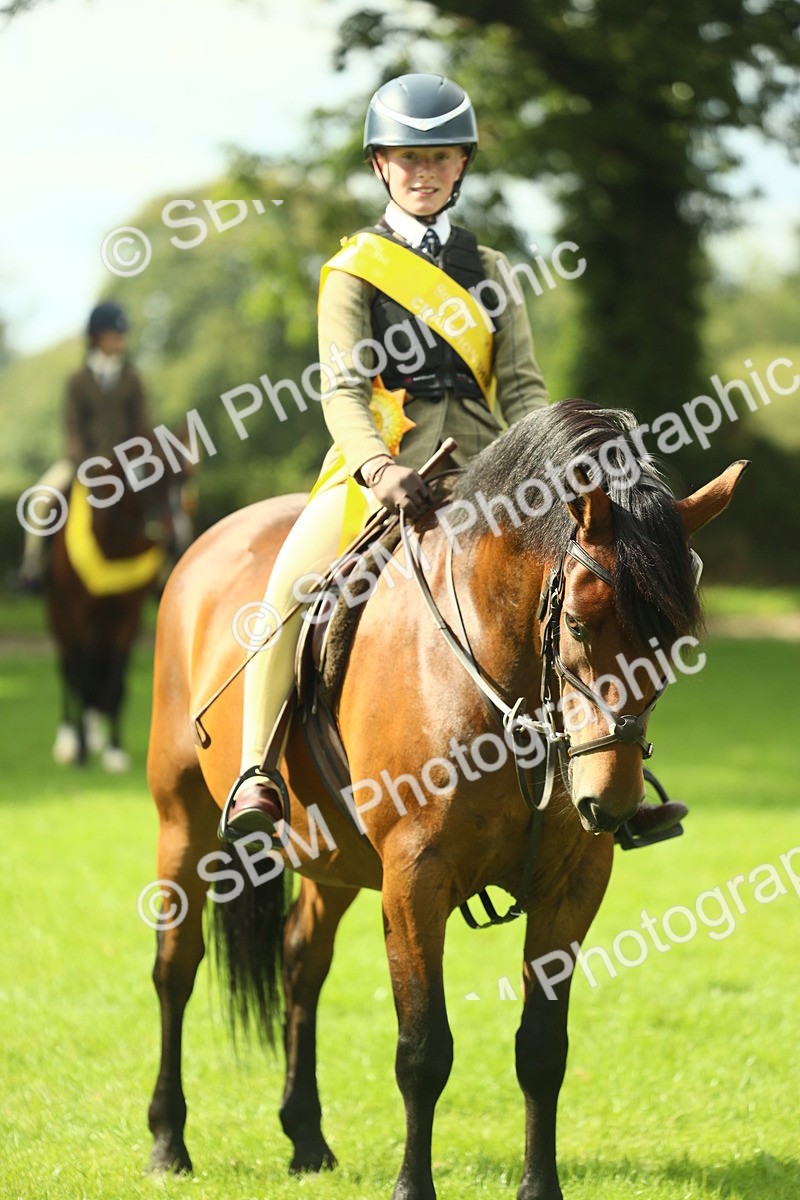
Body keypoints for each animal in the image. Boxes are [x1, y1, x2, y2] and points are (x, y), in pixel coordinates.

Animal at [45, 462, 177, 770]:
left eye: (181, 479)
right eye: (144, 475)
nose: (172, 535)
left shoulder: (128, 619)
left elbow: (116, 681)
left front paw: (114, 750)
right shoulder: (77, 617)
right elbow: (80, 677)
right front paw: (80, 750)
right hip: (60, 621)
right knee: (69, 673)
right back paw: (68, 740)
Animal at [145, 401, 747, 1200]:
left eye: (678, 637)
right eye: (579, 623)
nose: (610, 803)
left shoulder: (572, 884)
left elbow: (542, 1049)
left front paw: (539, 1186)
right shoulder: (414, 880)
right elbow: (424, 1050)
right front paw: (412, 1186)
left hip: (333, 858)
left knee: (302, 965)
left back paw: (306, 1137)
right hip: (181, 822)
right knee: (176, 967)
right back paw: (167, 1140)